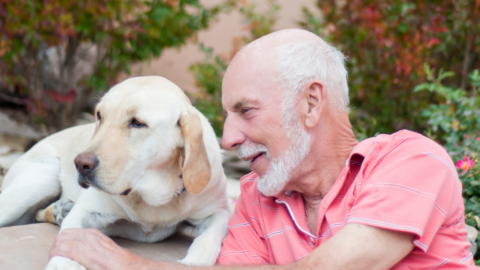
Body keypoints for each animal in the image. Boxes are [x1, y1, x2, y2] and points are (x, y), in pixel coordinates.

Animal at [0, 75, 231, 268]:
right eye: (99, 116)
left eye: (137, 123)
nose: (81, 164)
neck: (151, 200)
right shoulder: (87, 211)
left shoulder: (218, 213)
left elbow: (206, 246)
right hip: (42, 178)